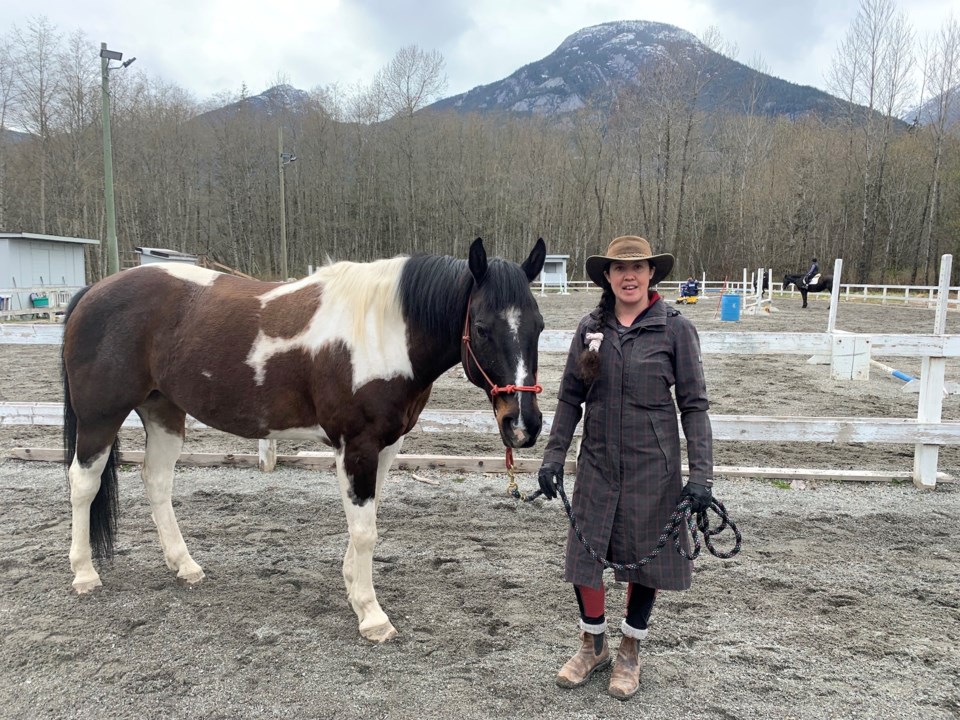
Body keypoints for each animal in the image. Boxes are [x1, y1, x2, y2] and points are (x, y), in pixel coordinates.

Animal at [62, 236, 548, 640]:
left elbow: (366, 522)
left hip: (163, 411)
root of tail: (92, 292)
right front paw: (372, 615)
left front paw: (353, 589)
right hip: (101, 417)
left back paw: (185, 566)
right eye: (481, 327)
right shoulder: (356, 445)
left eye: (539, 326)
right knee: (83, 484)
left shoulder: (385, 447)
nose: (523, 425)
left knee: (157, 482)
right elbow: (365, 530)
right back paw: (84, 574)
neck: (382, 331)